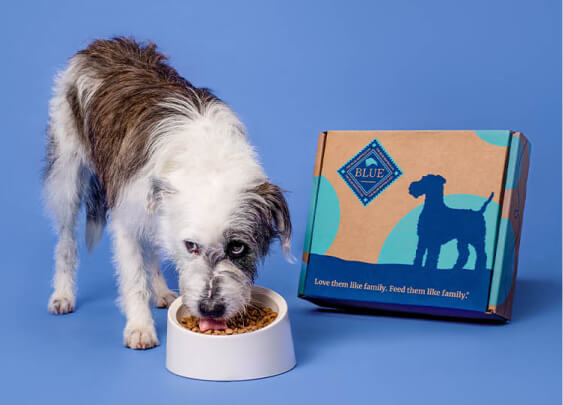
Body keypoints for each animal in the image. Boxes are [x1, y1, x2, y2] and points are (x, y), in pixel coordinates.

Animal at [42, 36, 294, 348]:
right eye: (191, 246)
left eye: (237, 247)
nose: (210, 309)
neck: (208, 162)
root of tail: (103, 43)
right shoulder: (126, 217)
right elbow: (134, 278)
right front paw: (140, 327)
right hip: (67, 174)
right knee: (66, 242)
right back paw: (63, 294)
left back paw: (160, 291)